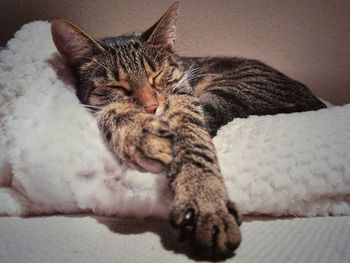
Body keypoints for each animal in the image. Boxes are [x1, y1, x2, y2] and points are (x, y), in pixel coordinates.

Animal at [50, 0, 326, 260]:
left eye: (157, 75)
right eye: (118, 86)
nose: (151, 108)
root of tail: (316, 102)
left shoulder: (183, 96)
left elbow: (193, 143)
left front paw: (206, 204)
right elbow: (112, 108)